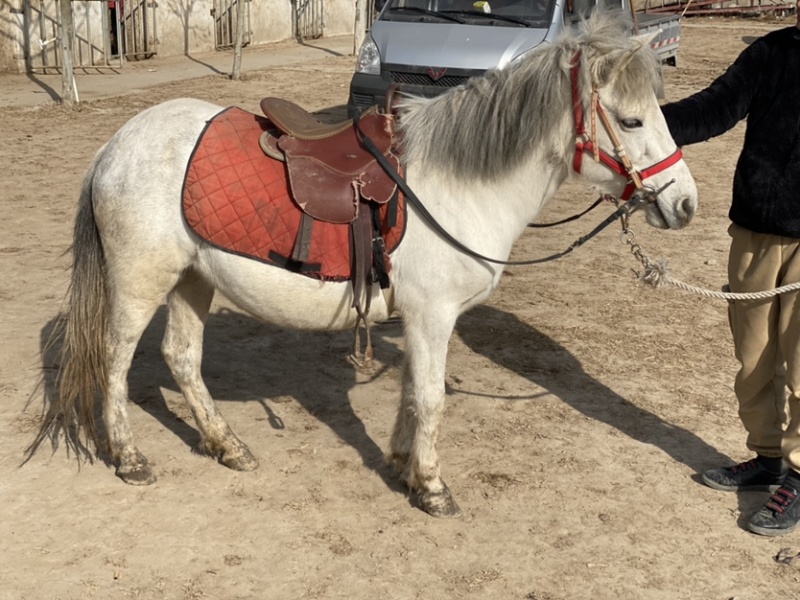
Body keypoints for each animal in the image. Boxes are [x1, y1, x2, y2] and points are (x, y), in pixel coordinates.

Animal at [31, 11, 697, 517]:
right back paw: (129, 458)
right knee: (115, 360)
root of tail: (118, 143)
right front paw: (431, 488)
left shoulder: (420, 319)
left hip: (194, 280)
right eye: (632, 119)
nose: (685, 203)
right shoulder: (434, 316)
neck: (457, 185)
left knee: (181, 358)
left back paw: (227, 446)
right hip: (140, 282)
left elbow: (411, 395)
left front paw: (403, 466)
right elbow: (430, 397)